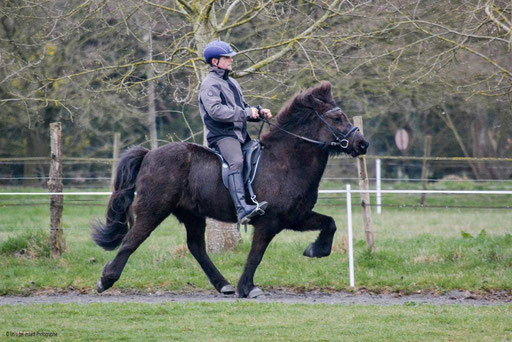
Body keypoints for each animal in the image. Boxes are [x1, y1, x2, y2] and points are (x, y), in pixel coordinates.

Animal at [92, 80, 368, 296]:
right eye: (337, 118)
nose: (362, 144)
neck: (285, 161)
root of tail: (149, 154)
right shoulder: (269, 223)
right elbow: (256, 255)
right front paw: (247, 288)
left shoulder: (295, 217)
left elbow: (330, 223)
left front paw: (316, 250)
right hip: (153, 210)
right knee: (132, 240)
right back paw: (106, 280)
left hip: (192, 214)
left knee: (196, 247)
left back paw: (222, 285)